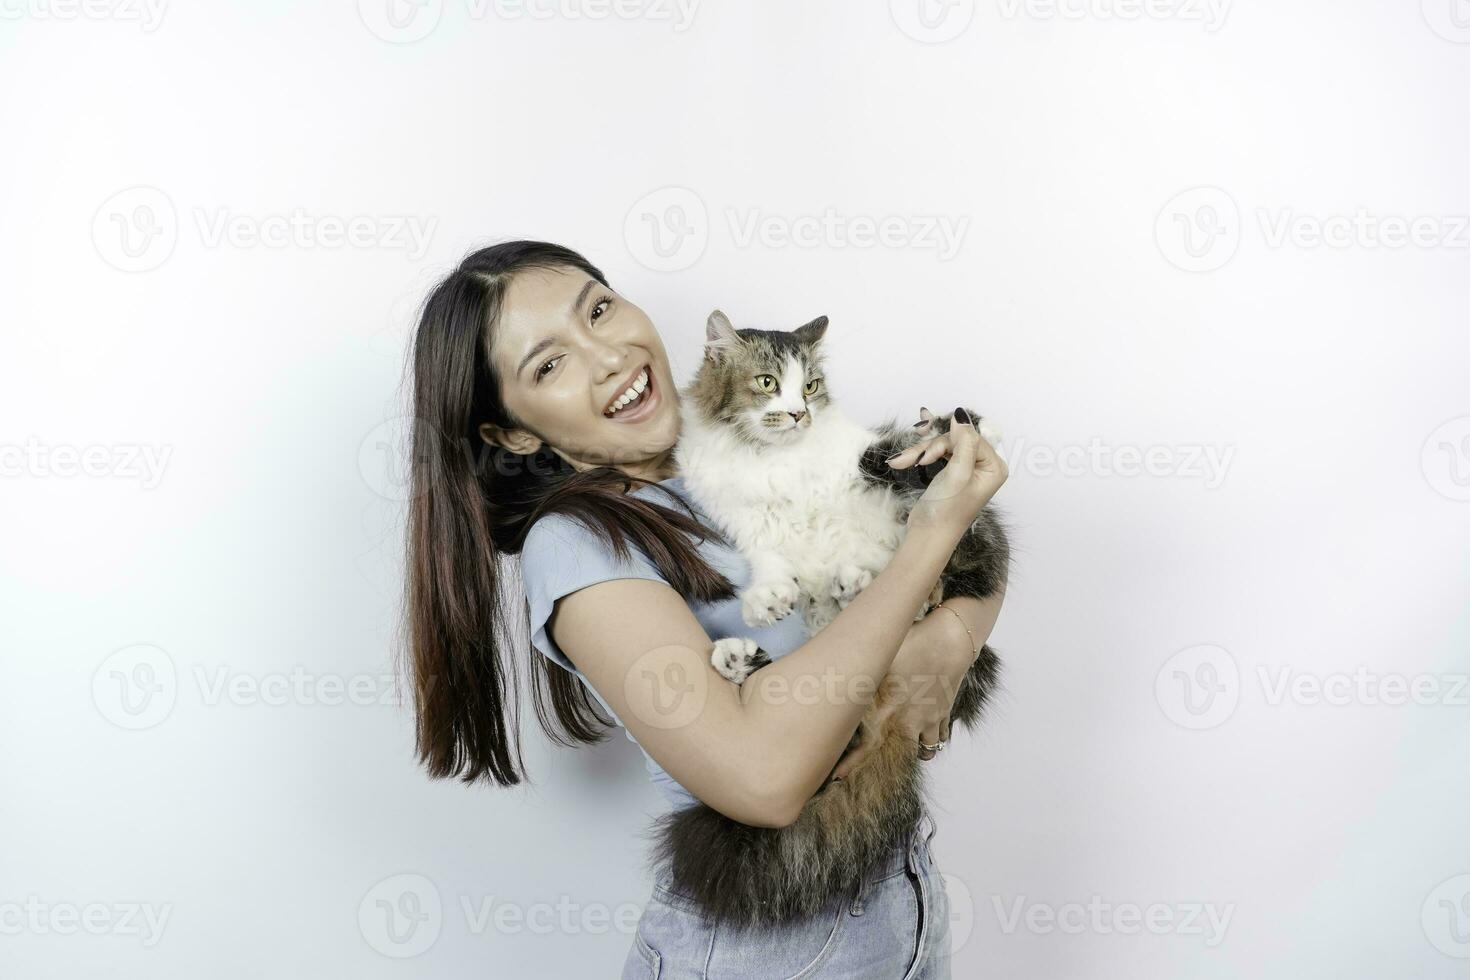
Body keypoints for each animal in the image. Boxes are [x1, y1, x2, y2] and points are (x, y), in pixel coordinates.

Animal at [655, 308, 1011, 928]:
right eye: (768, 383)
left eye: (812, 386)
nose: (800, 412)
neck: (770, 460)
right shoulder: (741, 518)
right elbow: (770, 559)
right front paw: (771, 598)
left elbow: (879, 481)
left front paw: (944, 433)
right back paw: (743, 652)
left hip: (975, 562)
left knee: (960, 554)